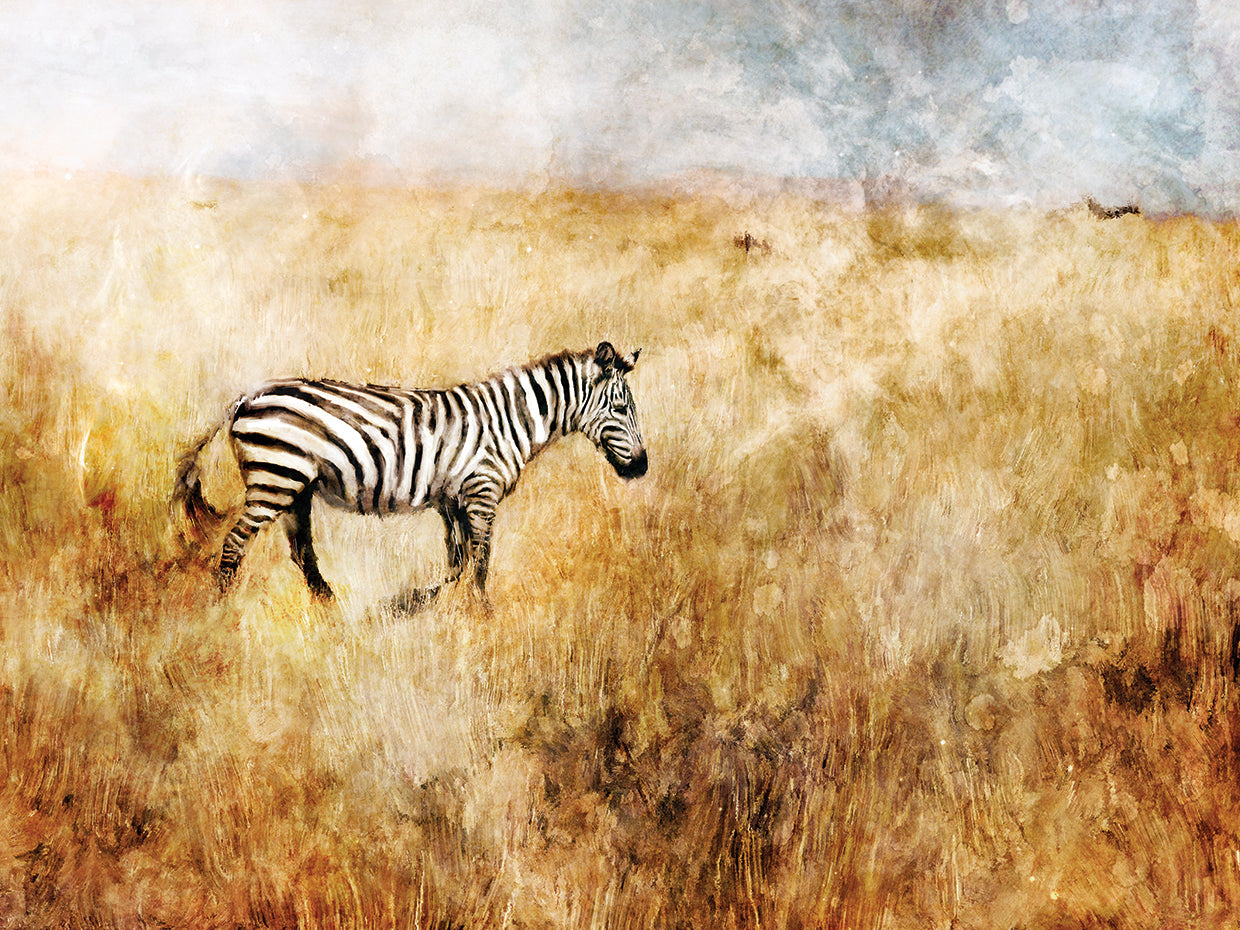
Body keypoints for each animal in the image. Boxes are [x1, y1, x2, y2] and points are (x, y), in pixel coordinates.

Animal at [173, 342, 647, 606]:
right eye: (621, 408)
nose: (642, 467)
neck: (508, 421)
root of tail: (247, 397)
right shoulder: (481, 492)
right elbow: (481, 561)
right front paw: (482, 613)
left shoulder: (452, 499)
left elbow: (458, 561)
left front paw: (425, 602)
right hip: (275, 480)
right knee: (235, 545)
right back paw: (222, 611)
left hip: (295, 487)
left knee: (301, 550)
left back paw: (329, 606)